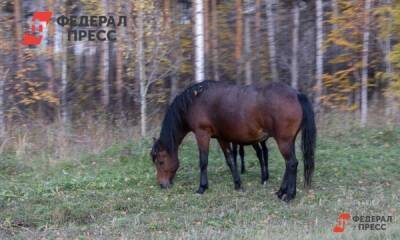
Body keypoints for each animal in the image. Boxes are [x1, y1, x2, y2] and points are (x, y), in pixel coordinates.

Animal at [151, 80, 316, 201]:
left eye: (161, 162)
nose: (162, 184)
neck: (194, 101)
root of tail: (296, 94)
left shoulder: (202, 134)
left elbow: (203, 161)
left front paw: (202, 188)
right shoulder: (222, 138)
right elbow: (230, 160)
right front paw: (238, 185)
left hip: (283, 141)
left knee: (292, 163)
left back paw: (289, 195)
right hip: (288, 141)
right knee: (289, 164)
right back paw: (281, 192)